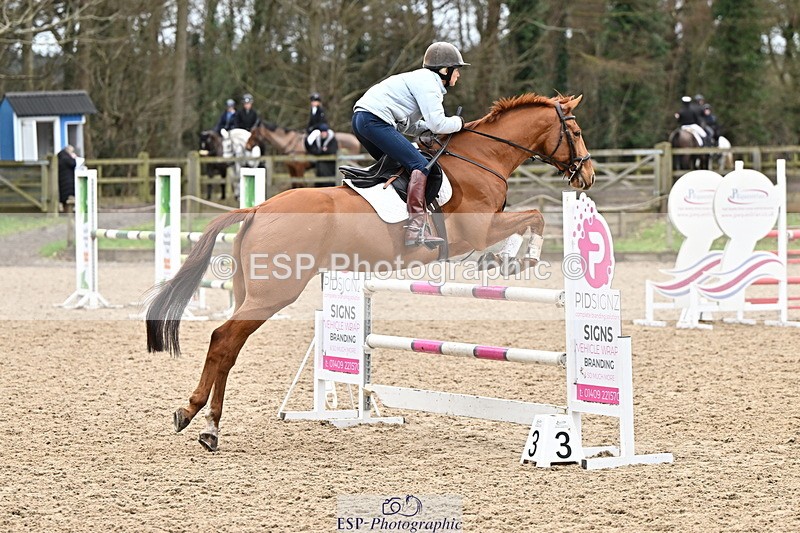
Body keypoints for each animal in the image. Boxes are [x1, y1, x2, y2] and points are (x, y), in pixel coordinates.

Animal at [146, 93, 595, 452]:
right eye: (574, 129)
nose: (587, 176)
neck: (481, 160)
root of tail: (258, 208)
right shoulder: (478, 230)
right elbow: (535, 217)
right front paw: (523, 257)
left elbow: (525, 222)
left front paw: (504, 259)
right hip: (272, 294)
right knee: (224, 341)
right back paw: (203, 421)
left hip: (251, 293)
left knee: (226, 346)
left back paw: (200, 418)